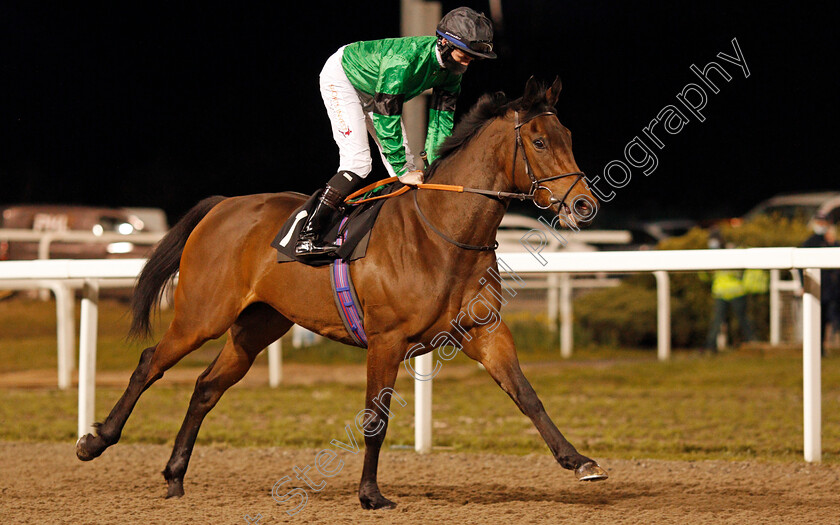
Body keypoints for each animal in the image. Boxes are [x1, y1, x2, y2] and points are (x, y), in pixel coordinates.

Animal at [75, 77, 608, 508]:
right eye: (538, 141)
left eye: (568, 138)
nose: (584, 205)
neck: (442, 236)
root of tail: (223, 206)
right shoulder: (387, 340)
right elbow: (375, 418)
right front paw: (370, 494)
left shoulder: (486, 332)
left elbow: (528, 396)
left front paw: (580, 460)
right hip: (201, 315)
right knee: (150, 364)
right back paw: (95, 440)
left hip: (256, 325)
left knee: (206, 387)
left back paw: (174, 475)